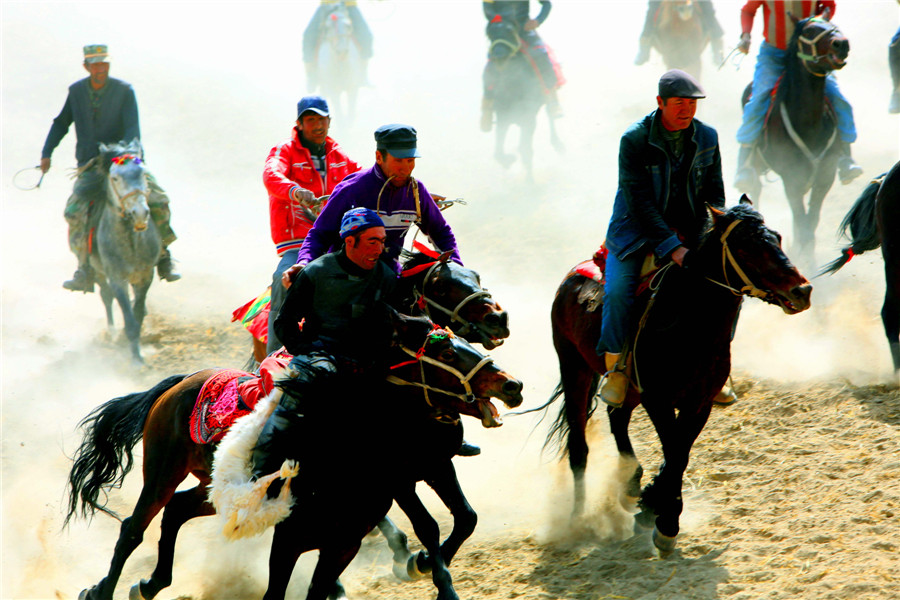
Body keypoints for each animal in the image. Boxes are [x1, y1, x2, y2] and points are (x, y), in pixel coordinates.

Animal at [67, 312, 524, 600]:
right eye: (446, 353)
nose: (512, 385)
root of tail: (181, 381)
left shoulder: (355, 531)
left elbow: (457, 519)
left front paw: (429, 569)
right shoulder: (292, 538)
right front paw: (425, 566)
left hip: (215, 487)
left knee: (177, 510)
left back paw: (149, 584)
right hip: (162, 470)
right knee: (133, 528)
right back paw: (102, 590)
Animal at [87, 139, 163, 366]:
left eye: (143, 174)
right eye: (115, 178)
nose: (140, 214)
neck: (131, 244)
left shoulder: (145, 275)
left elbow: (137, 313)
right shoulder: (116, 279)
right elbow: (128, 319)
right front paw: (136, 359)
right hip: (98, 271)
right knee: (106, 296)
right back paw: (112, 333)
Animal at [536, 199, 812, 556]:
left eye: (777, 238)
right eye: (746, 247)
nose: (802, 290)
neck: (687, 325)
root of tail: (570, 280)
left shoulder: (699, 403)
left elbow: (679, 453)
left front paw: (651, 504)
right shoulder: (658, 399)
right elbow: (675, 452)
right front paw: (666, 521)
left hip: (626, 389)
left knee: (617, 417)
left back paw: (631, 484)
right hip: (573, 367)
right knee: (578, 444)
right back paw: (576, 519)